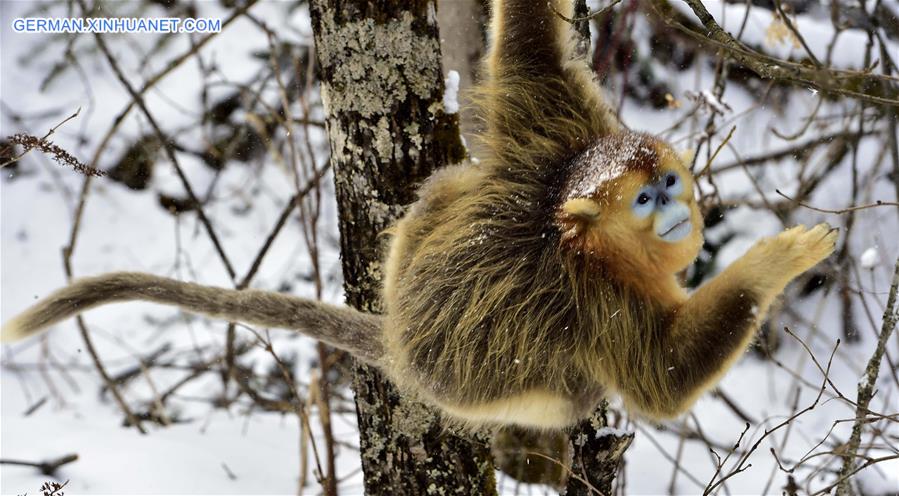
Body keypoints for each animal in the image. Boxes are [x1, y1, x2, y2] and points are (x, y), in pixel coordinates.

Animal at [0, 0, 836, 428]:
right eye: (642, 199)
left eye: (664, 181)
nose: (672, 204)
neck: (571, 235)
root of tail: (400, 347)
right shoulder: (601, 304)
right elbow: (663, 381)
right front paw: (778, 257)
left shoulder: (562, 126)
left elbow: (527, 40)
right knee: (572, 388)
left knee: (441, 189)